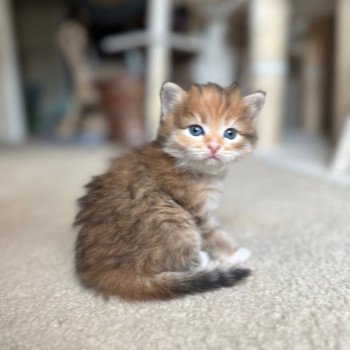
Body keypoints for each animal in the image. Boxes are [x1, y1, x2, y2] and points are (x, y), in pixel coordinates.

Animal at [74, 80, 266, 300]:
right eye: (195, 130)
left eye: (230, 134)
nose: (214, 147)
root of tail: (98, 271)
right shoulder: (196, 212)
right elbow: (213, 234)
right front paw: (234, 252)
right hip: (169, 216)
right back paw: (202, 259)